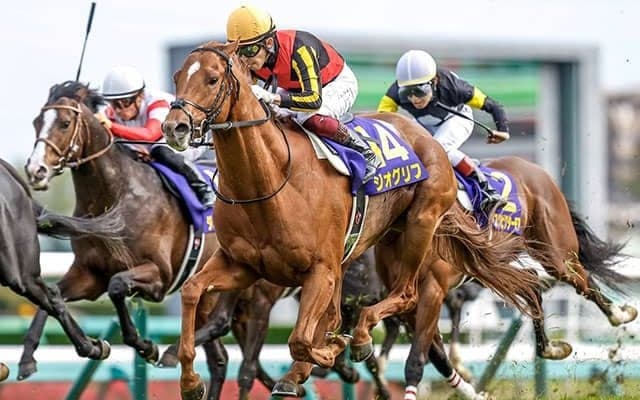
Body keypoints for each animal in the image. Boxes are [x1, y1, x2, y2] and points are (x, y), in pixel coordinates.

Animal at [19, 81, 225, 380]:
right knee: (219, 355)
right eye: (36, 122)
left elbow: (117, 286)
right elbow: (54, 293)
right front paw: (31, 357)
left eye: (65, 123)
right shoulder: (90, 275)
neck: (117, 197)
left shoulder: (160, 275)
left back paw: (172, 352)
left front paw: (146, 346)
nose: (36, 170)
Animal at [161, 40, 542, 399]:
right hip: (388, 240)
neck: (270, 181)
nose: (174, 127)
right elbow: (193, 291)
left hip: (421, 223)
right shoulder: (242, 266)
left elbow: (302, 338)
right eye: (178, 77)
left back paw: (359, 340)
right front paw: (190, 381)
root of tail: (425, 137)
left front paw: (332, 351)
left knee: (405, 296)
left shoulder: (320, 270)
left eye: (212, 79)